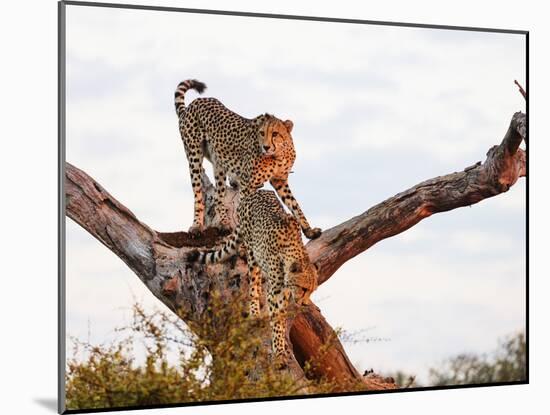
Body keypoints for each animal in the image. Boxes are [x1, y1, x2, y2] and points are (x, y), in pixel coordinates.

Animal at [175, 79, 324, 240]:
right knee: (198, 194)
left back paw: (224, 222)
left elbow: (295, 205)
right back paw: (196, 226)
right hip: (194, 156)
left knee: (219, 195)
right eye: (262, 133)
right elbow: (245, 212)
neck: (278, 154)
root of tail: (194, 103)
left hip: (218, 161)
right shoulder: (248, 185)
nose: (265, 147)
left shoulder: (280, 180)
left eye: (275, 134)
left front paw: (309, 230)